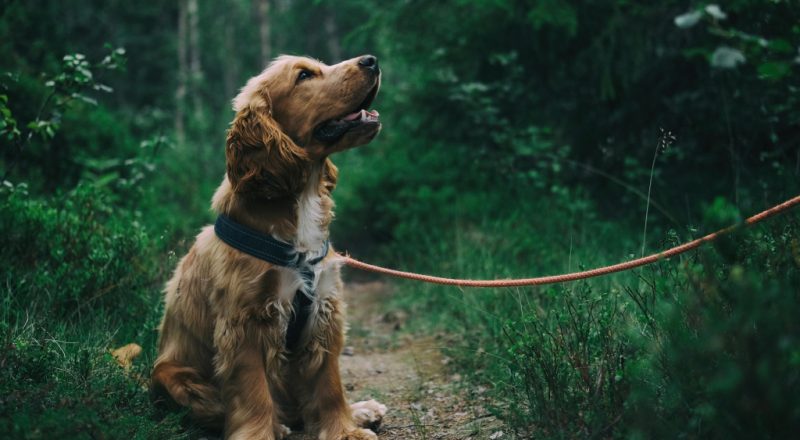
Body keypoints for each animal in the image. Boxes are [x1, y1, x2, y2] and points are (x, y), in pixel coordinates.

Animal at [152, 55, 388, 440]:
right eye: (304, 75)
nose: (371, 60)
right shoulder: (245, 322)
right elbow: (253, 394)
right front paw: (260, 433)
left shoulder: (324, 309)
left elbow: (329, 384)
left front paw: (344, 430)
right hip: (175, 378)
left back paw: (362, 410)